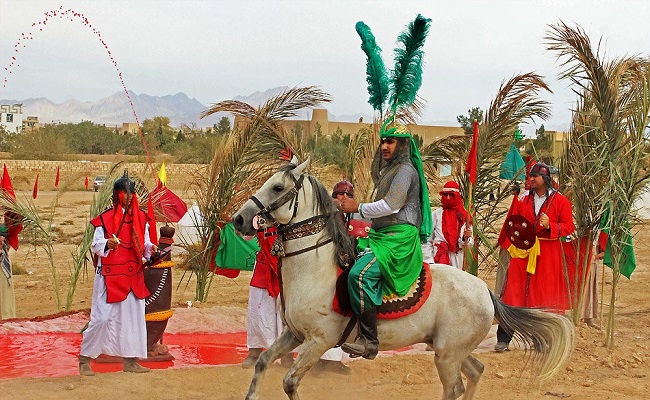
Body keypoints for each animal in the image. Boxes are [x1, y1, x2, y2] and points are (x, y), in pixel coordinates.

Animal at [232, 159, 572, 400]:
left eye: (277, 187)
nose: (239, 219)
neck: (316, 270)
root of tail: (486, 291)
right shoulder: (295, 335)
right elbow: (263, 363)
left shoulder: (319, 341)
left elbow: (290, 383)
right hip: (450, 349)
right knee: (476, 371)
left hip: (447, 355)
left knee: (455, 388)